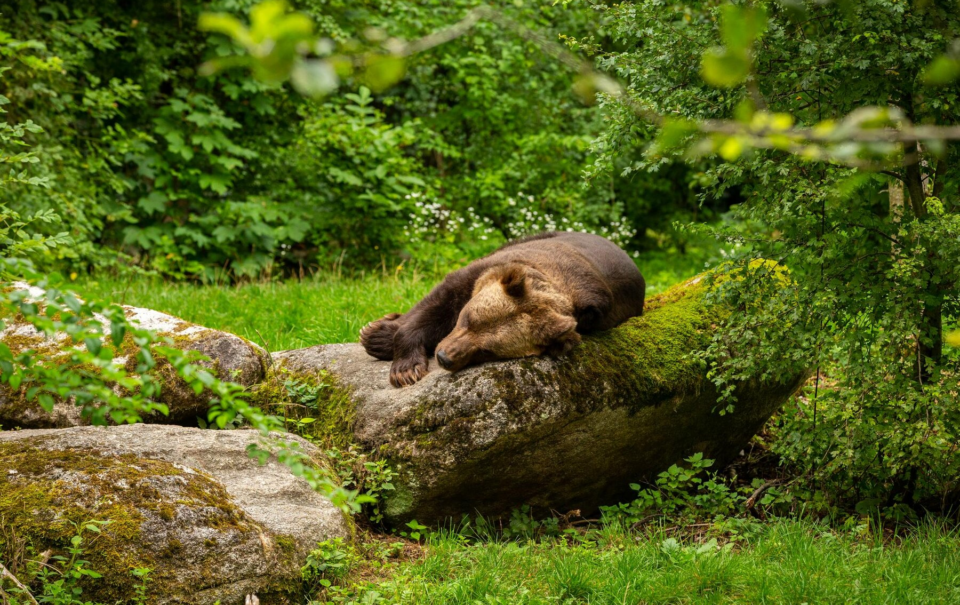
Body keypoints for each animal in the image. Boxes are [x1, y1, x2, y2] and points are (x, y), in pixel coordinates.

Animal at [358, 231, 644, 386]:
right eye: (467, 319)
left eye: (487, 350)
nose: (444, 357)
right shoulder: (484, 271)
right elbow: (435, 305)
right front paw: (404, 367)